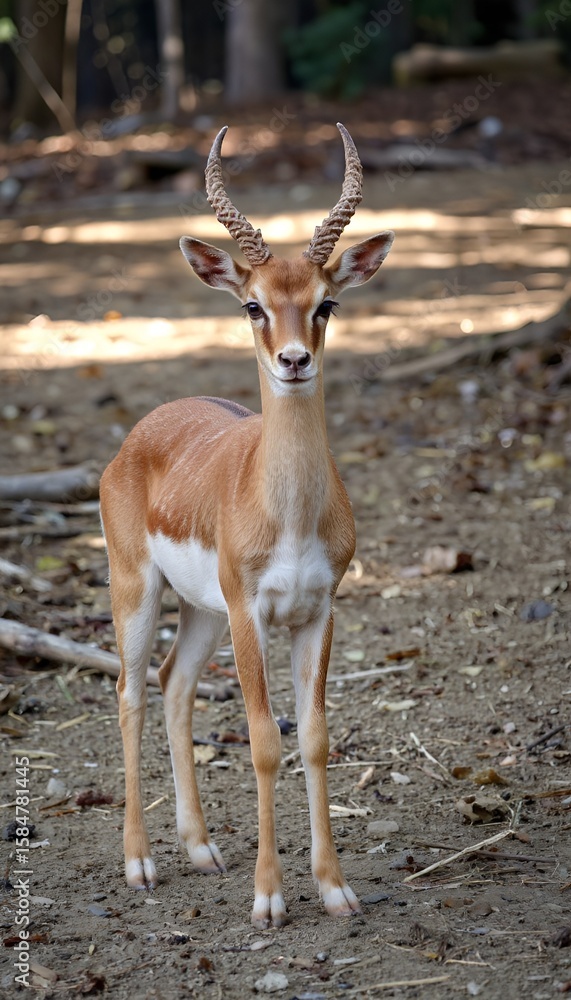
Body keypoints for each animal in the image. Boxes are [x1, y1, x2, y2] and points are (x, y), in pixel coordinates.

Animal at [99, 123, 394, 929]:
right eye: (253, 307)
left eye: (326, 304)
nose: (293, 362)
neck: (286, 513)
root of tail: (138, 435)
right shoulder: (251, 612)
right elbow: (263, 741)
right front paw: (269, 898)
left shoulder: (318, 610)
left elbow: (316, 737)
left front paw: (334, 889)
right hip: (141, 592)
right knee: (130, 691)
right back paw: (139, 864)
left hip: (203, 612)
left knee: (173, 684)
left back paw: (202, 850)